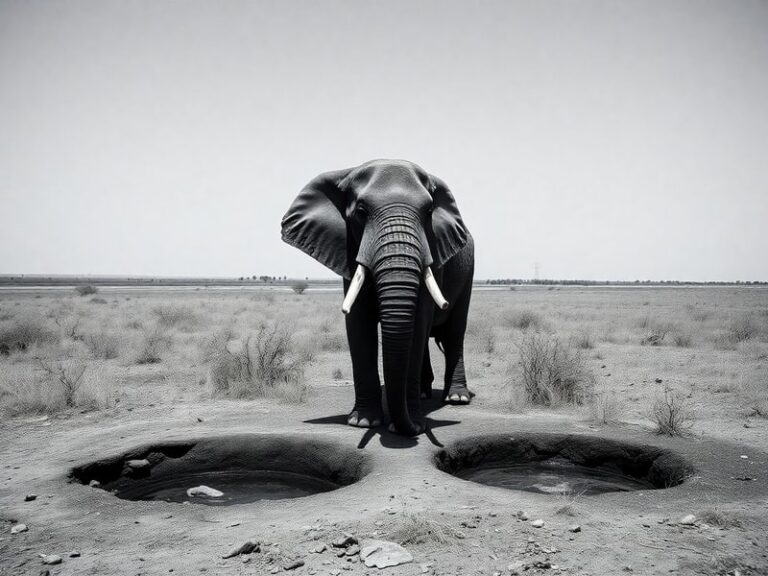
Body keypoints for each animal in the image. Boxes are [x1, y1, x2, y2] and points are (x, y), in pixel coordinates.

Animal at [281, 159, 474, 436]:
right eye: (361, 211)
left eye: (428, 212)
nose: (410, 428)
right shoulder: (349, 248)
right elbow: (358, 324)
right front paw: (362, 422)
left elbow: (419, 323)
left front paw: (413, 424)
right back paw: (425, 394)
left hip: (468, 272)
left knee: (455, 333)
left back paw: (456, 398)